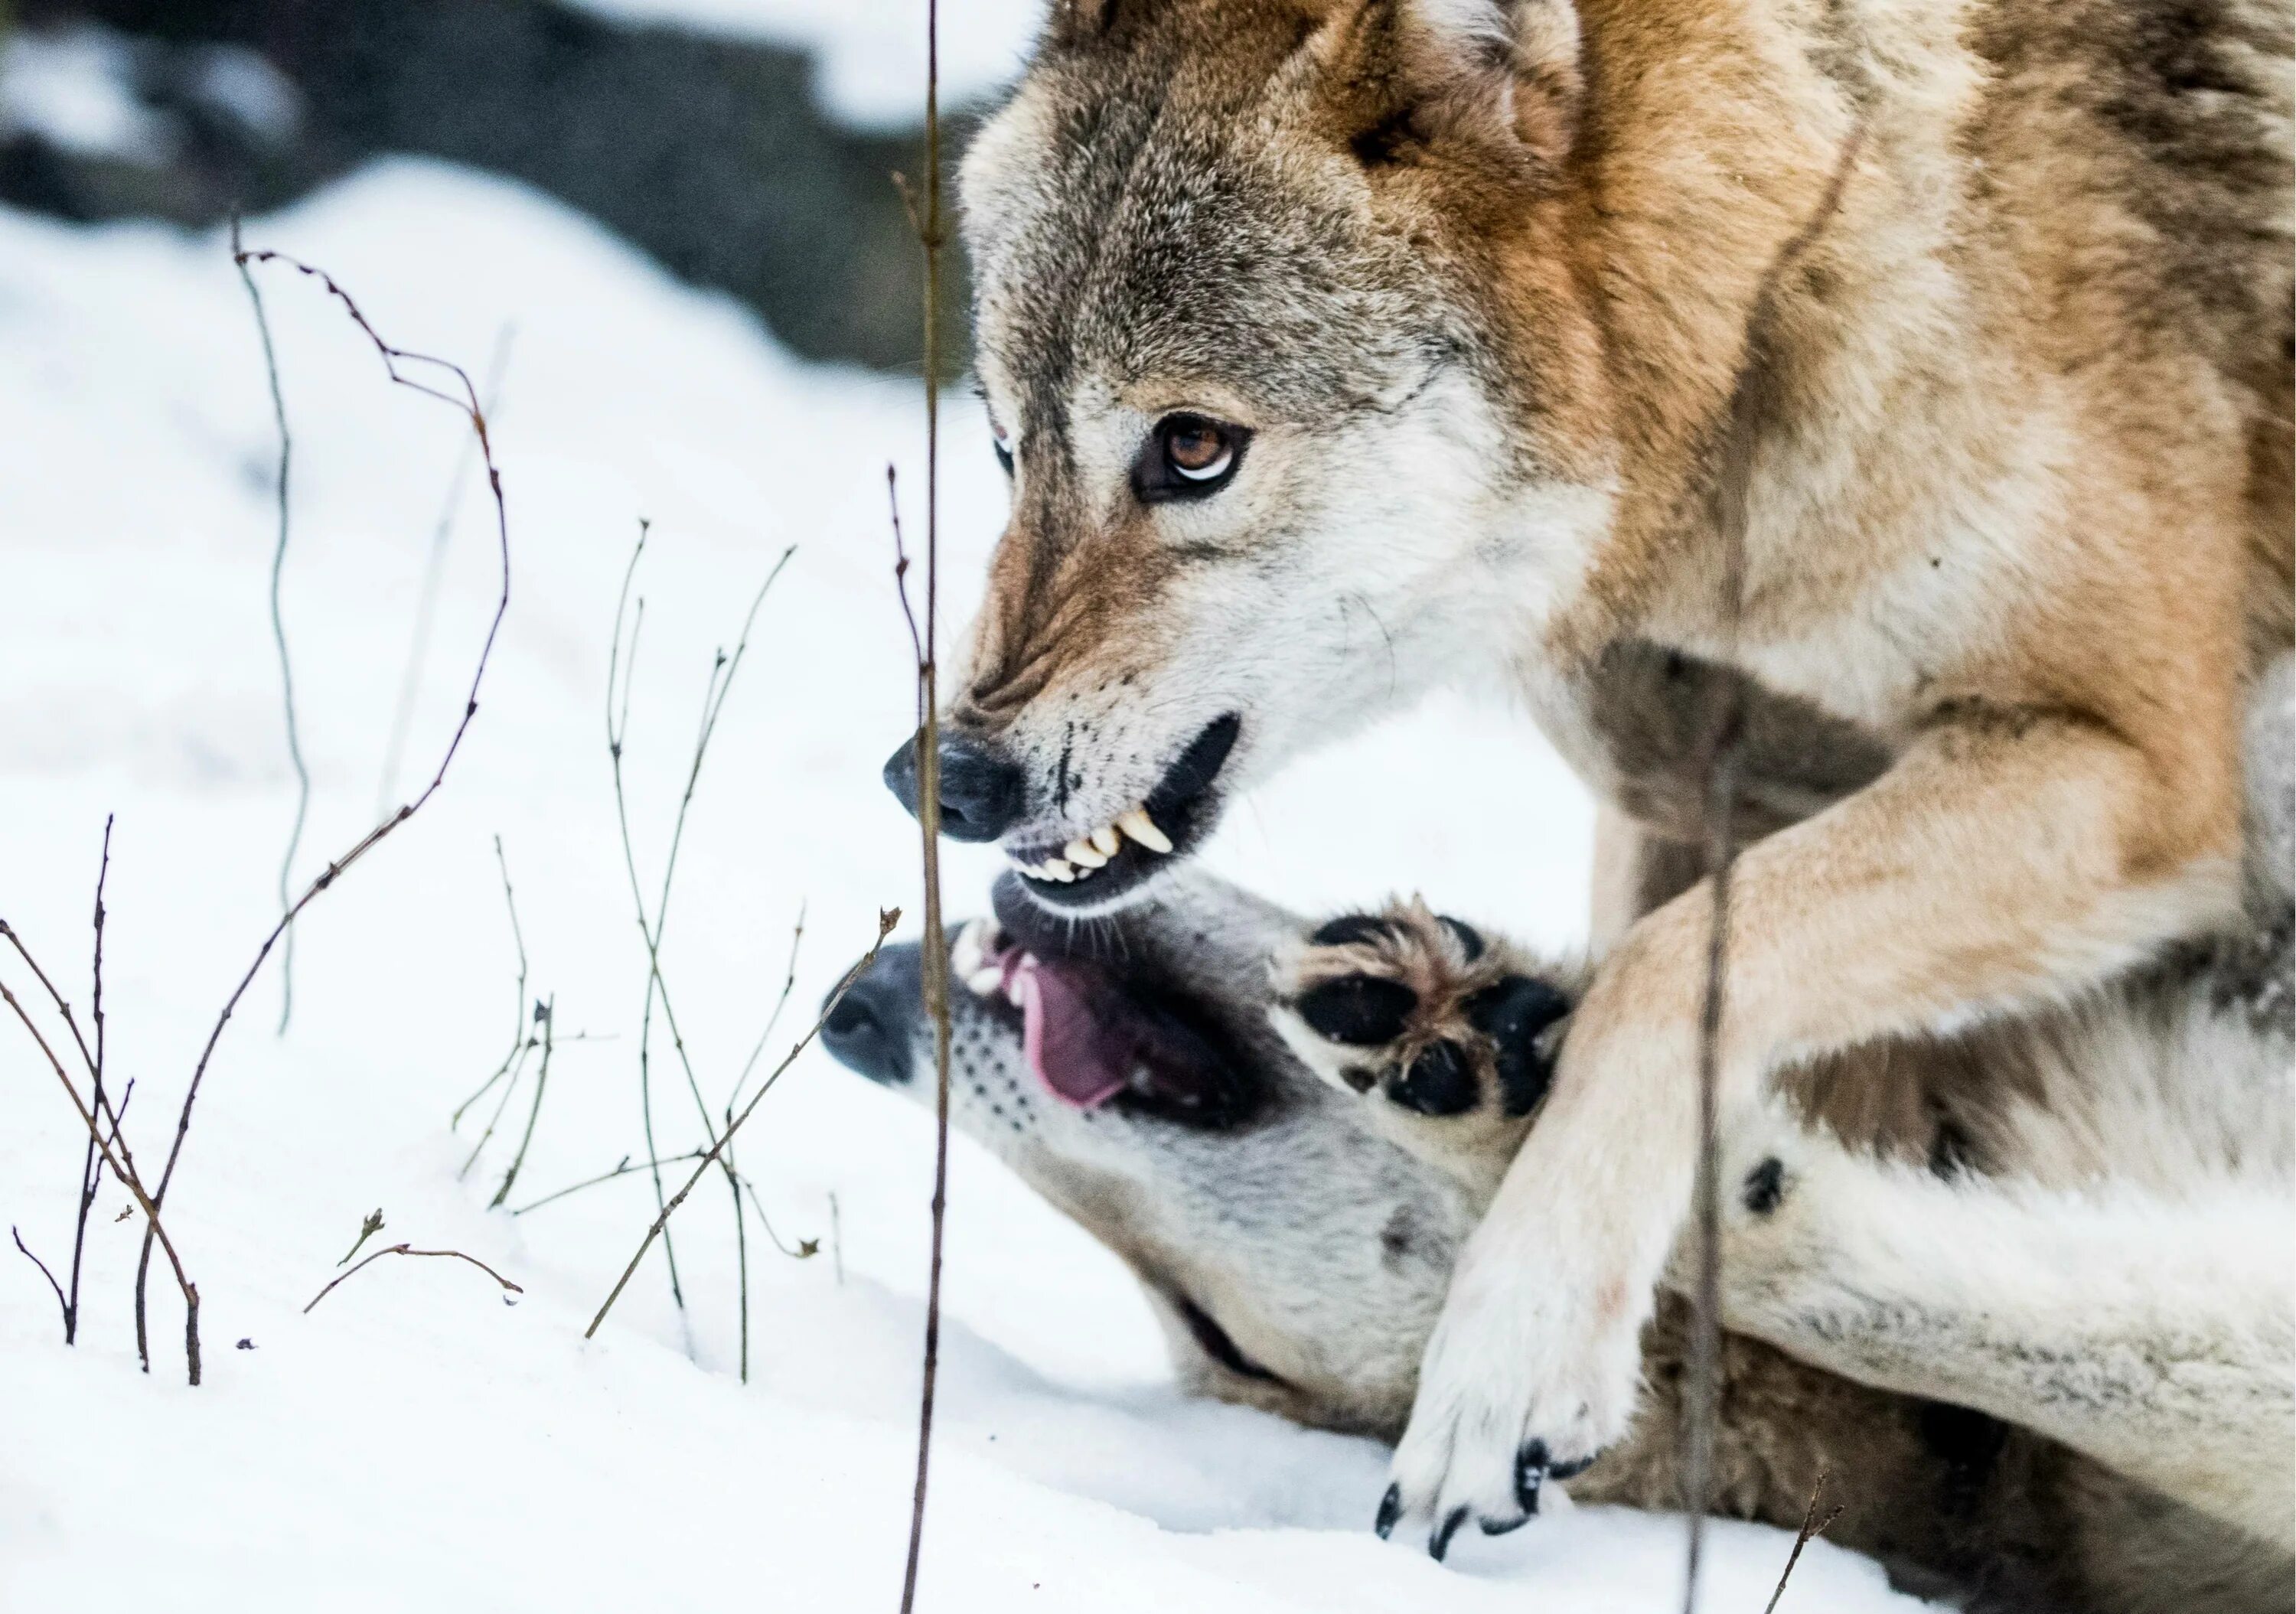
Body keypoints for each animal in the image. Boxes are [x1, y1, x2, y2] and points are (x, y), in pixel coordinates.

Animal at [891, 0, 2296, 1552]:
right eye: (1006, 446)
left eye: (1192, 448)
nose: (941, 781)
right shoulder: (1679, 794)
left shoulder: (2132, 766)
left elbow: (1663, 975)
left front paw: (1511, 1355)